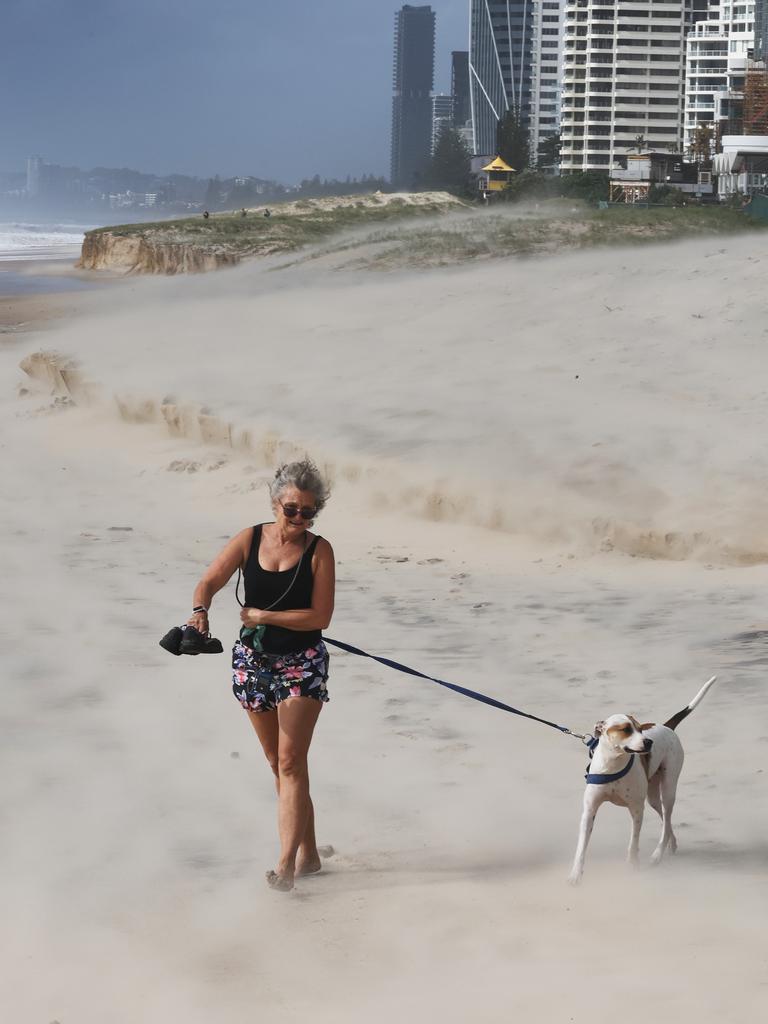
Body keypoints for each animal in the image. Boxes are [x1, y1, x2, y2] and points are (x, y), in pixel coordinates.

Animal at [569, 675, 720, 884]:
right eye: (625, 729)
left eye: (640, 729)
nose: (649, 742)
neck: (614, 764)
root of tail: (666, 726)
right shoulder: (590, 810)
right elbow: (581, 847)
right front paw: (575, 874)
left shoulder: (636, 809)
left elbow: (633, 842)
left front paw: (633, 865)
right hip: (653, 797)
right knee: (666, 821)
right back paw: (671, 844)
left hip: (668, 789)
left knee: (666, 820)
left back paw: (657, 854)